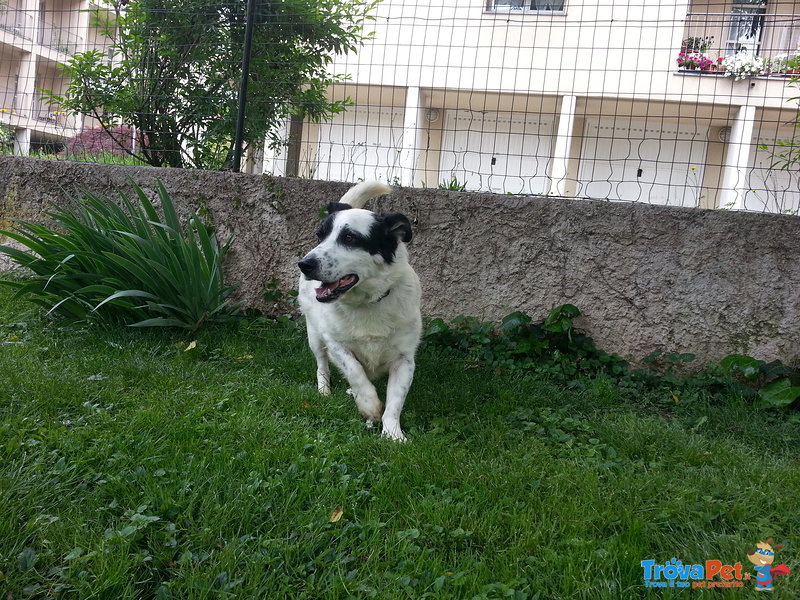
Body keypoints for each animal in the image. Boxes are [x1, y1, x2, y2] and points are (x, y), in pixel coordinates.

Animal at [296, 179, 422, 440]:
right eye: (320, 235)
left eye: (350, 237)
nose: (304, 264)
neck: (367, 303)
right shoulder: (336, 344)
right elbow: (355, 372)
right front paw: (370, 406)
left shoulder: (404, 359)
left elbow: (395, 401)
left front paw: (393, 434)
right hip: (314, 336)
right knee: (321, 364)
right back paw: (324, 390)